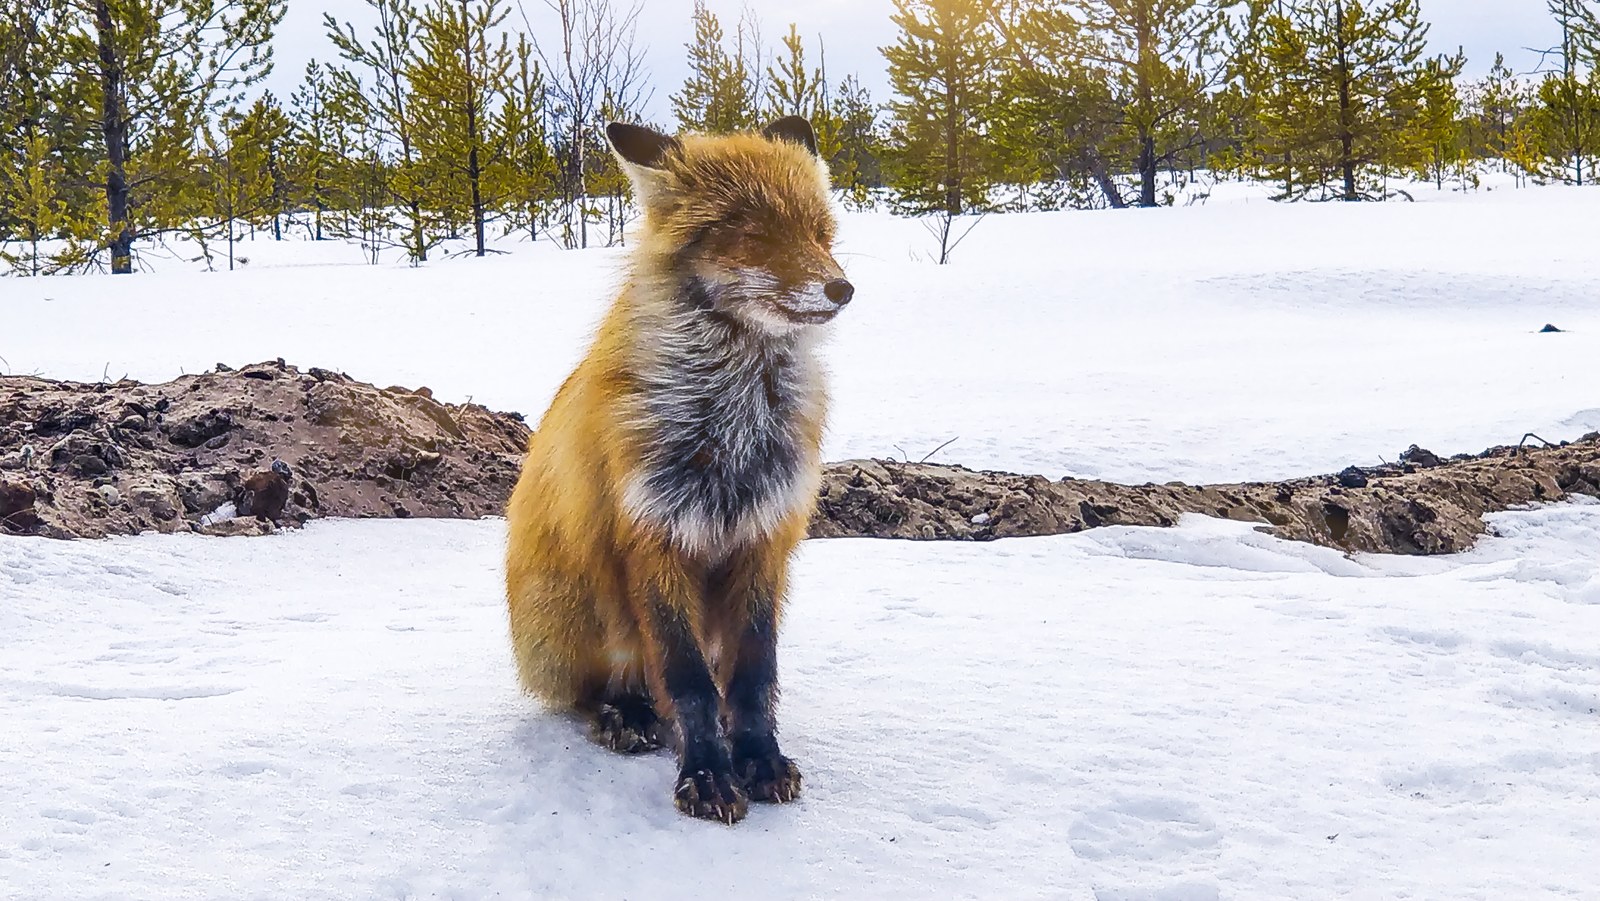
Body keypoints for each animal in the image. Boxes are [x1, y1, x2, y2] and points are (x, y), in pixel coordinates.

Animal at [502, 118, 857, 825]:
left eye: (819, 234)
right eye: (756, 235)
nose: (842, 288)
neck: (731, 424)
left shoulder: (764, 538)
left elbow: (752, 677)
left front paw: (758, 758)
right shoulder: (652, 535)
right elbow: (688, 680)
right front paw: (708, 774)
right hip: (583, 603)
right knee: (600, 688)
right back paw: (626, 713)